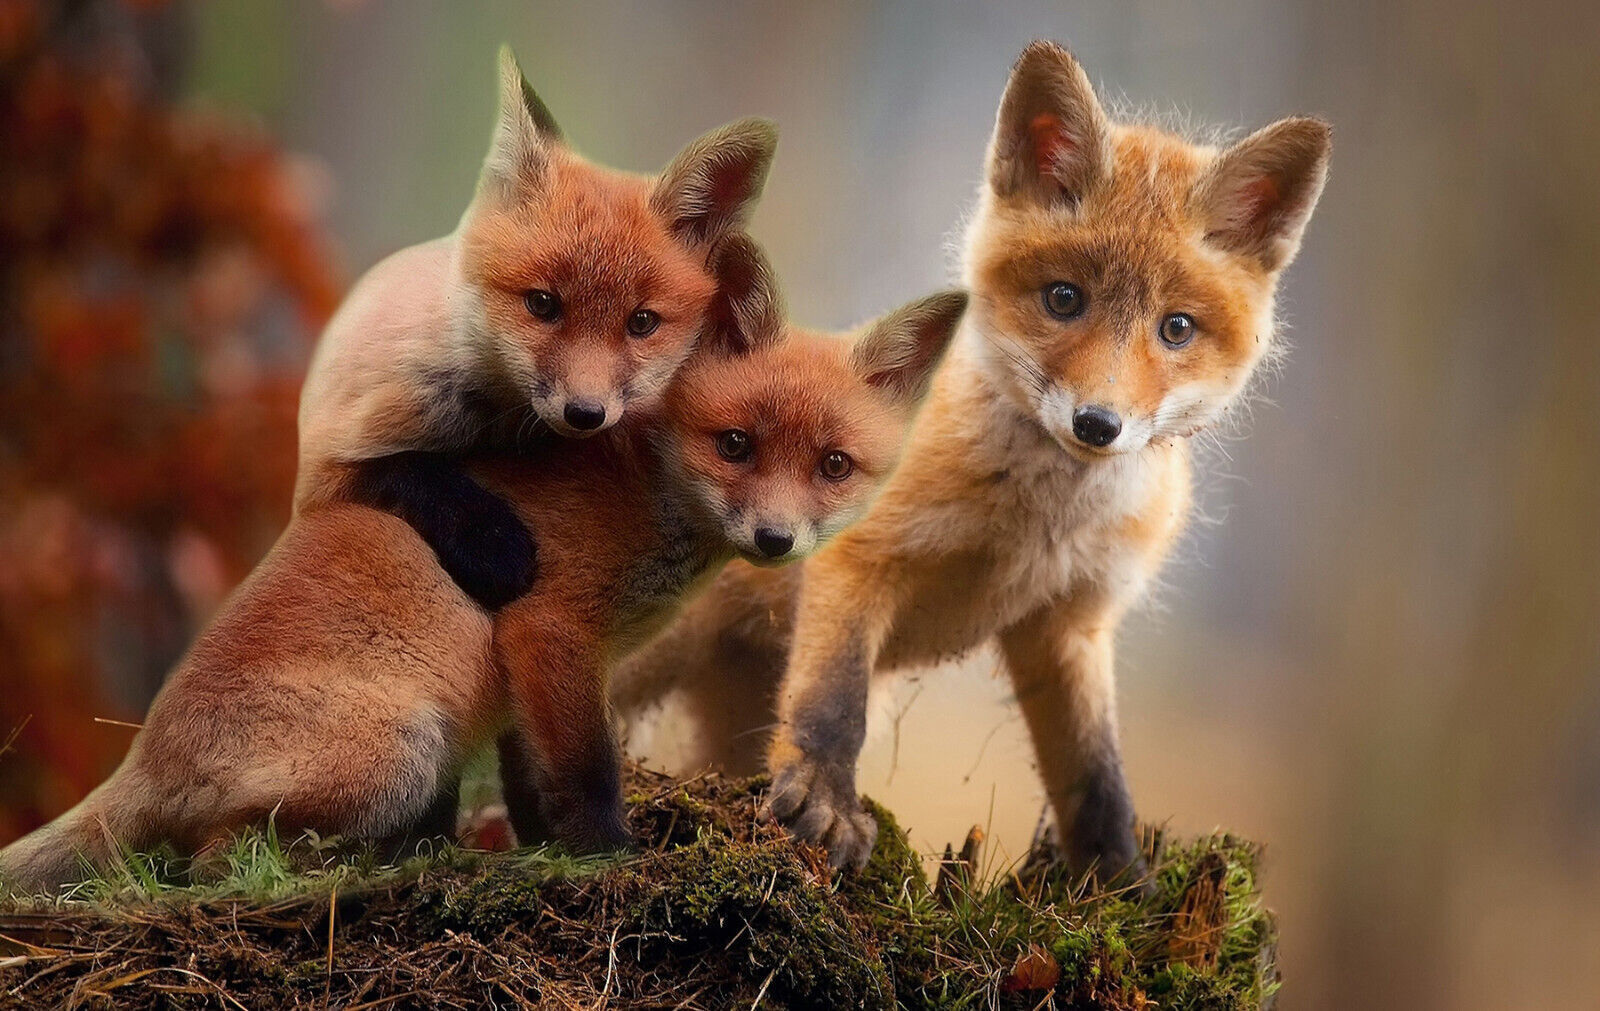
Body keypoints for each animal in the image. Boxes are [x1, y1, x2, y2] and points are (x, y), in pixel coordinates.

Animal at [0, 234, 968, 895]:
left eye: (833, 465)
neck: (646, 486)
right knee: (206, 865)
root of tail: (143, 755)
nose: (774, 542)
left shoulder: (525, 675)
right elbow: (586, 771)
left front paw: (542, 847)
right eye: (736, 445)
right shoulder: (550, 628)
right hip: (402, 753)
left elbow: (532, 779)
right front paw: (607, 856)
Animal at [294, 46, 776, 606]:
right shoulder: (325, 467)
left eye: (642, 322)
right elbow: (407, 471)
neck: (494, 424)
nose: (585, 413)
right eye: (542, 304)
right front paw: (490, 541)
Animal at [610, 40, 1331, 875]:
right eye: (1063, 299)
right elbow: (832, 703)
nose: (1098, 424)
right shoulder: (858, 559)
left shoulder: (1069, 623)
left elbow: (1096, 778)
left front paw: (1122, 883)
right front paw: (826, 803)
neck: (1036, 525)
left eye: (1176, 327)